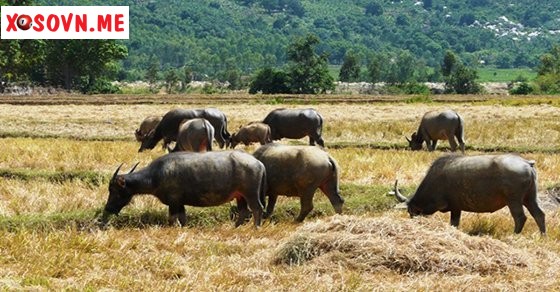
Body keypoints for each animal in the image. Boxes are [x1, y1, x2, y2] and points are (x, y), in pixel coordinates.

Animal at [101, 151, 266, 228]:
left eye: (114, 190)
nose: (108, 208)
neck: (156, 176)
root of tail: (258, 162)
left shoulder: (174, 203)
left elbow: (172, 219)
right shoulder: (180, 203)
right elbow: (182, 218)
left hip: (251, 194)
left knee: (257, 208)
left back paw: (256, 227)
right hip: (240, 196)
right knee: (243, 211)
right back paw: (236, 227)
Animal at [392, 154, 544, 234]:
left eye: (411, 212)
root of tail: (526, 163)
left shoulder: (454, 208)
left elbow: (454, 223)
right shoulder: (457, 208)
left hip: (514, 200)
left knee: (520, 217)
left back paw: (515, 234)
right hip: (530, 198)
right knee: (539, 214)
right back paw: (542, 235)